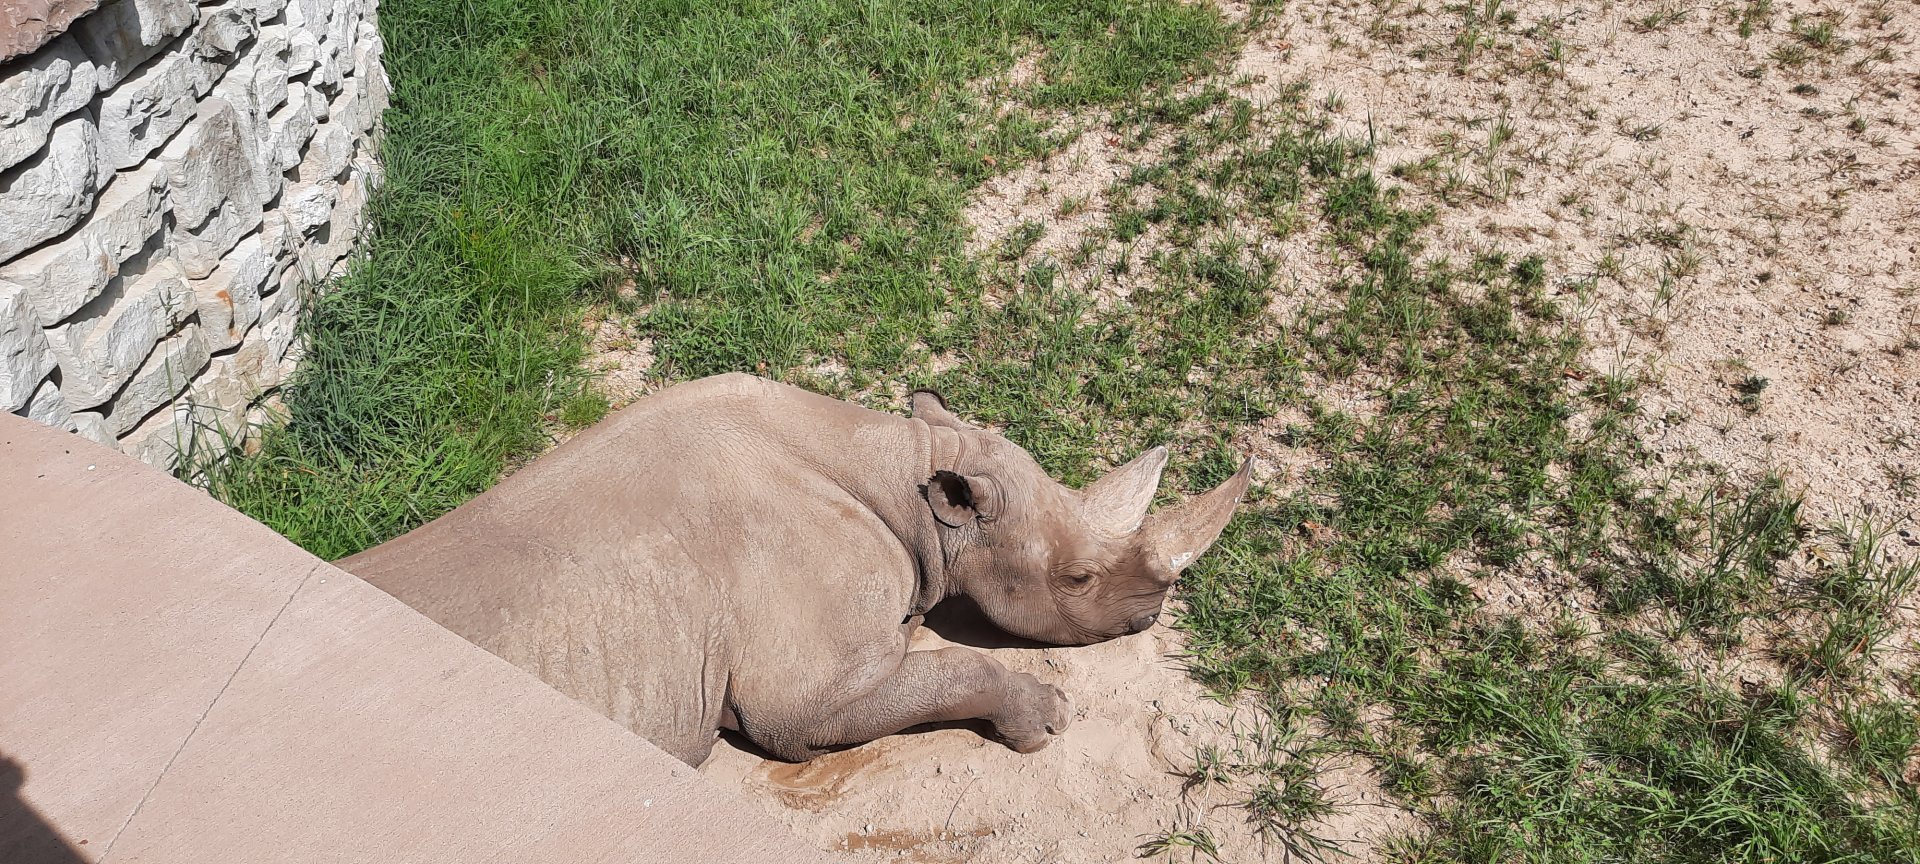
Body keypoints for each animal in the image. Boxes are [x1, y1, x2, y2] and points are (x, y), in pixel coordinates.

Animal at [338, 373, 1250, 766]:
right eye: (1078, 580)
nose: (1149, 618)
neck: (914, 483)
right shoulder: (804, 695)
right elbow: (951, 668)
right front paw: (1048, 720)